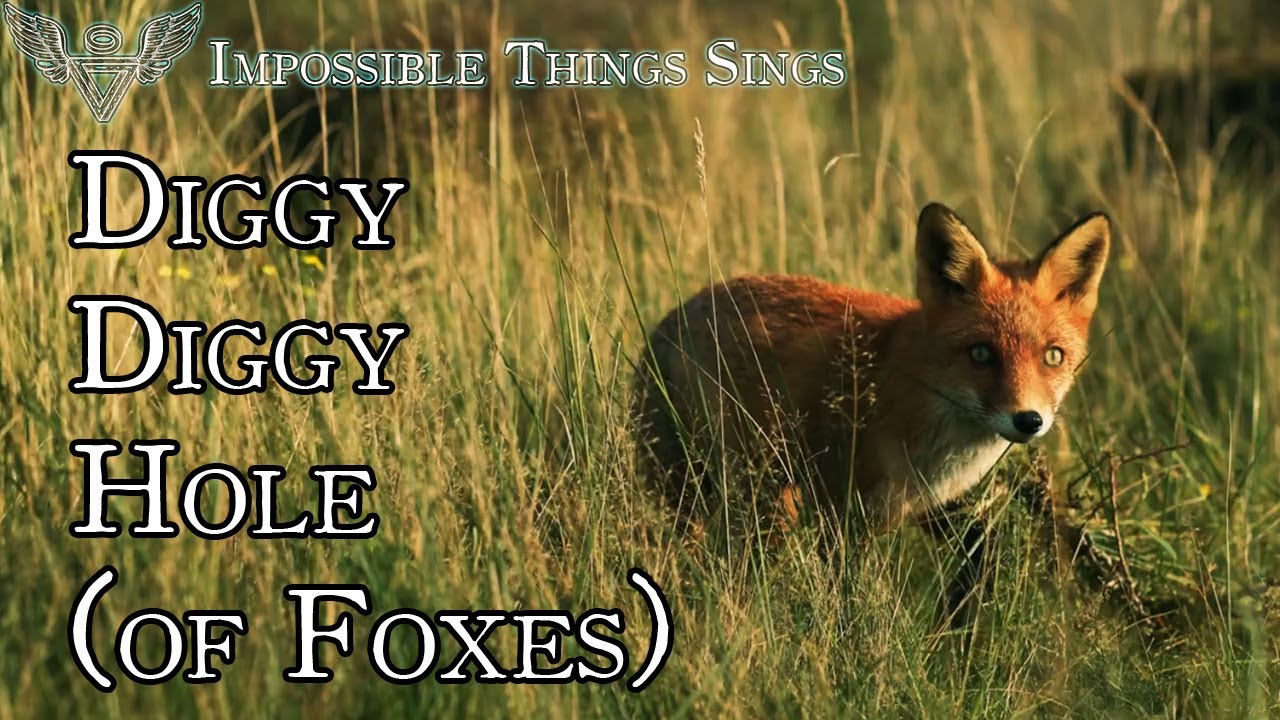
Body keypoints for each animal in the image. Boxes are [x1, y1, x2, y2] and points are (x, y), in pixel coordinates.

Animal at [633, 203, 1111, 545]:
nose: (1028, 420)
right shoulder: (842, 514)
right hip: (715, 492)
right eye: (981, 353)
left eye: (1053, 357)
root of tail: (674, 314)